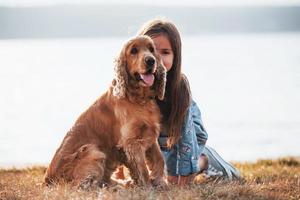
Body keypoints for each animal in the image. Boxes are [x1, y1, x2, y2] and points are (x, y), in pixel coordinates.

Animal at [44, 35, 166, 188]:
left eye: (151, 49)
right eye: (133, 51)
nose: (151, 60)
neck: (139, 100)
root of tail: (47, 180)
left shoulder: (150, 135)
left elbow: (160, 159)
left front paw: (159, 182)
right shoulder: (132, 142)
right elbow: (142, 168)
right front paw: (147, 188)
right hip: (93, 151)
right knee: (82, 185)